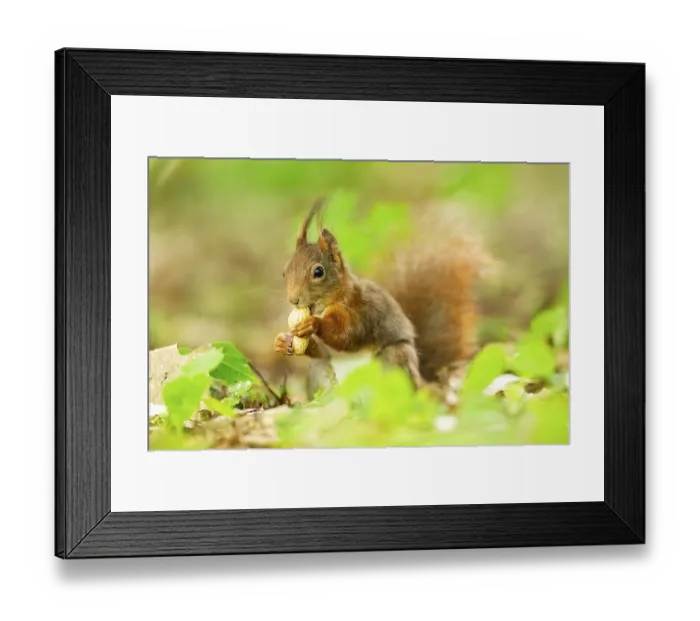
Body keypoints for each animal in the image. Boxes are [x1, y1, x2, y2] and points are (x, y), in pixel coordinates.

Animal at [273, 198, 487, 398]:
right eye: (284, 272)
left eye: (318, 272)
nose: (293, 300)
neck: (327, 303)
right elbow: (320, 351)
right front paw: (282, 342)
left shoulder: (360, 310)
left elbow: (348, 335)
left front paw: (313, 324)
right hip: (320, 372)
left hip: (393, 361)